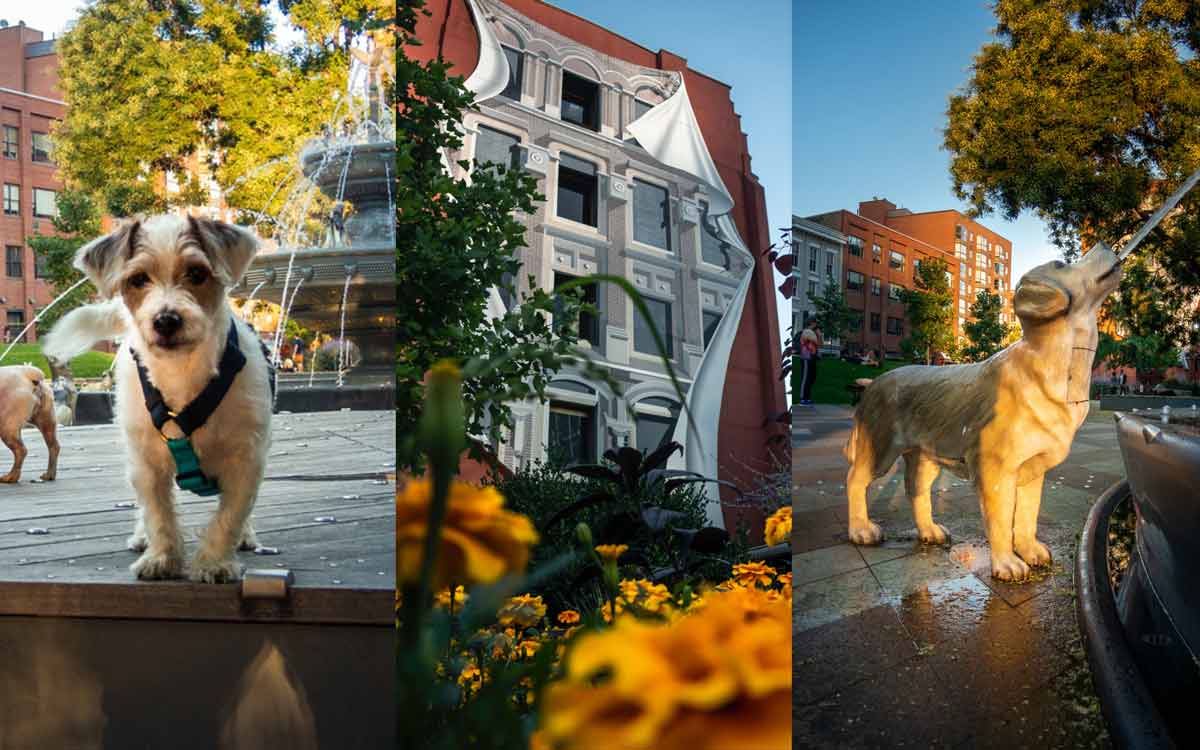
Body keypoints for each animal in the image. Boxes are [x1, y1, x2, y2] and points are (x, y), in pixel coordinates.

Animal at [45, 213, 272, 583]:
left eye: (197, 273)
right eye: (138, 279)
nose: (166, 320)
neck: (182, 373)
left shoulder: (247, 458)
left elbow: (230, 515)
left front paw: (214, 561)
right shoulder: (146, 462)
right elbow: (157, 513)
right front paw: (162, 557)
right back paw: (141, 537)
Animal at [844, 244, 1123, 578]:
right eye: (1062, 264)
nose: (1106, 246)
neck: (1059, 364)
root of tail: (873, 382)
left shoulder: (1033, 470)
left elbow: (1027, 517)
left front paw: (1030, 551)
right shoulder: (995, 469)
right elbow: (1001, 521)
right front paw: (1007, 564)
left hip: (925, 455)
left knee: (915, 490)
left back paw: (930, 531)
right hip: (881, 448)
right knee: (855, 480)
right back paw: (862, 530)